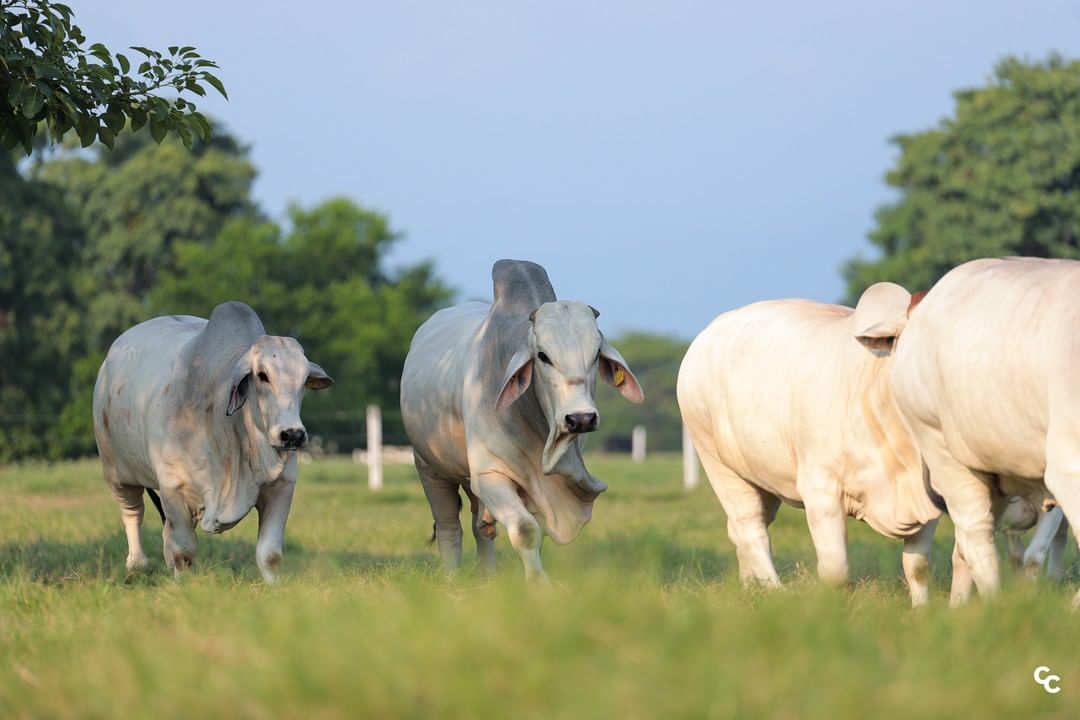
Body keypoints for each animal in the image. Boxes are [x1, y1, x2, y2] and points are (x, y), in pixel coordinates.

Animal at [91, 302, 330, 582]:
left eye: (303, 380)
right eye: (262, 375)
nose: (293, 434)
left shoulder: (281, 486)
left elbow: (270, 554)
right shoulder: (173, 488)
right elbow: (183, 552)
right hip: (117, 472)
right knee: (133, 513)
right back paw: (137, 563)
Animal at [403, 262, 639, 582]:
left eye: (595, 355)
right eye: (543, 356)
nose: (580, 418)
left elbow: (531, 533)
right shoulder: (489, 474)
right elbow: (526, 530)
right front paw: (539, 585)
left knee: (481, 528)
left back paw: (487, 577)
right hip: (430, 468)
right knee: (449, 527)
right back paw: (451, 577)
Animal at [678, 284, 941, 604]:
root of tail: (706, 336)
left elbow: (917, 567)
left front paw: (922, 609)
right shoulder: (821, 491)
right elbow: (835, 570)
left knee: (743, 531)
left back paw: (749, 587)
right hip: (717, 464)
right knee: (750, 530)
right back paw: (774, 593)